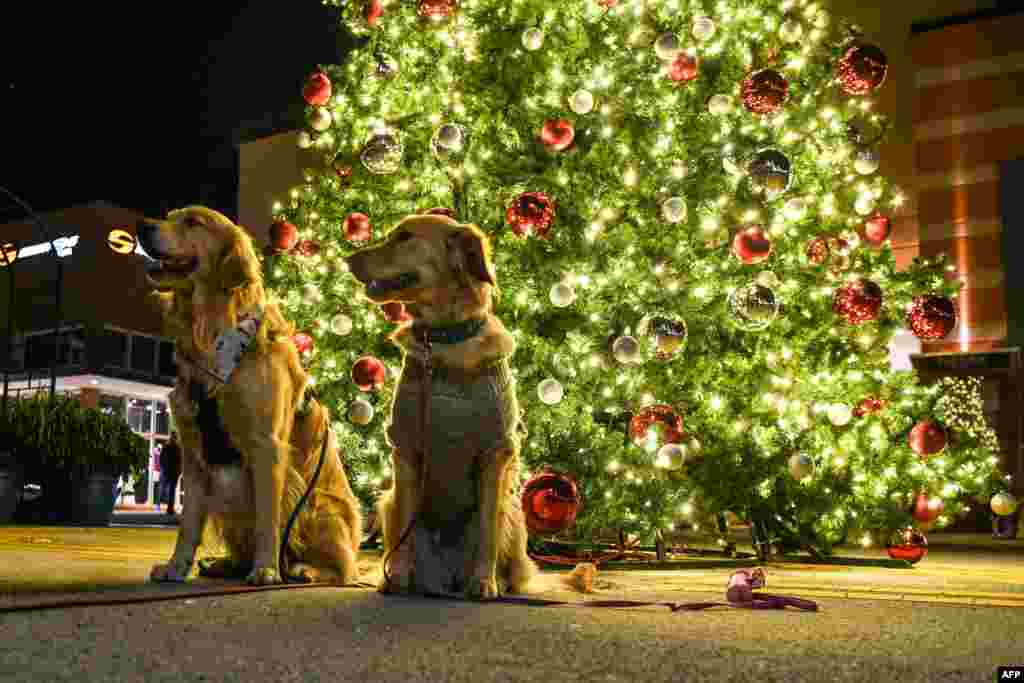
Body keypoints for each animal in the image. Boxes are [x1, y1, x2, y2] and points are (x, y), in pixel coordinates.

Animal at [139, 205, 364, 585]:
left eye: (193, 222)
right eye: (170, 216)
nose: (142, 226)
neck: (210, 332)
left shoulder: (267, 445)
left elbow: (267, 519)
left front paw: (266, 569)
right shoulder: (194, 452)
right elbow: (188, 524)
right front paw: (176, 566)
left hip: (320, 505)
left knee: (342, 569)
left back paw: (302, 569)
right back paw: (226, 564)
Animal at [344, 211, 536, 598]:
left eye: (405, 237)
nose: (347, 259)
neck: (443, 340)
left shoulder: (496, 451)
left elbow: (487, 531)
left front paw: (484, 582)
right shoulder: (405, 448)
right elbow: (405, 528)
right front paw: (397, 577)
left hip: (513, 510)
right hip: (387, 501)